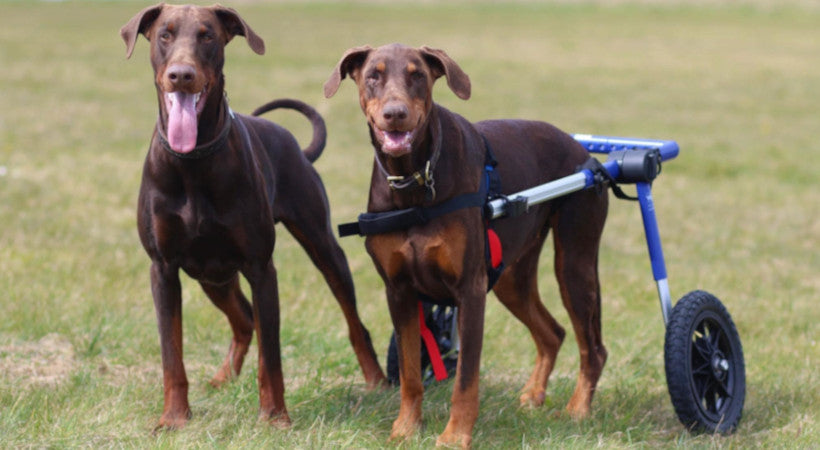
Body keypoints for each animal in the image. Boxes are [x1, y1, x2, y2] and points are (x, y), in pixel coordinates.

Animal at [120, 4, 386, 432]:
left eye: (207, 35)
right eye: (165, 34)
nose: (182, 74)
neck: (193, 163)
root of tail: (297, 146)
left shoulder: (261, 267)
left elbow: (271, 355)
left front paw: (274, 415)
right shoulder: (163, 268)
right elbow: (171, 354)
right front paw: (174, 417)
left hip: (322, 247)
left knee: (352, 321)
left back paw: (377, 381)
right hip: (210, 273)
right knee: (244, 319)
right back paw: (222, 378)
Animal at [326, 42, 608, 446]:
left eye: (417, 75)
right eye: (372, 76)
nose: (395, 114)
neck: (416, 182)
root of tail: (582, 150)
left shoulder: (470, 289)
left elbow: (465, 380)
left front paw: (455, 436)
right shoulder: (398, 290)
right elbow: (410, 374)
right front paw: (406, 428)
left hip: (574, 260)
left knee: (593, 348)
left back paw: (578, 410)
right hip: (511, 276)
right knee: (553, 333)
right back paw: (533, 394)